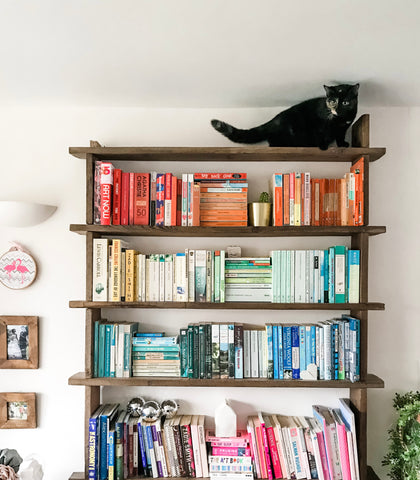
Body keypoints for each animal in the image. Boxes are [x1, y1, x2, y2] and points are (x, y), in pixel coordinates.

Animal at [210, 83, 358, 149]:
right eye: (332, 101)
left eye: (345, 102)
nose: (337, 109)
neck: (340, 120)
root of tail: (273, 120)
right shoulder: (320, 125)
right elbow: (320, 135)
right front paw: (323, 146)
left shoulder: (343, 128)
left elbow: (340, 137)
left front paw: (343, 144)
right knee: (272, 142)